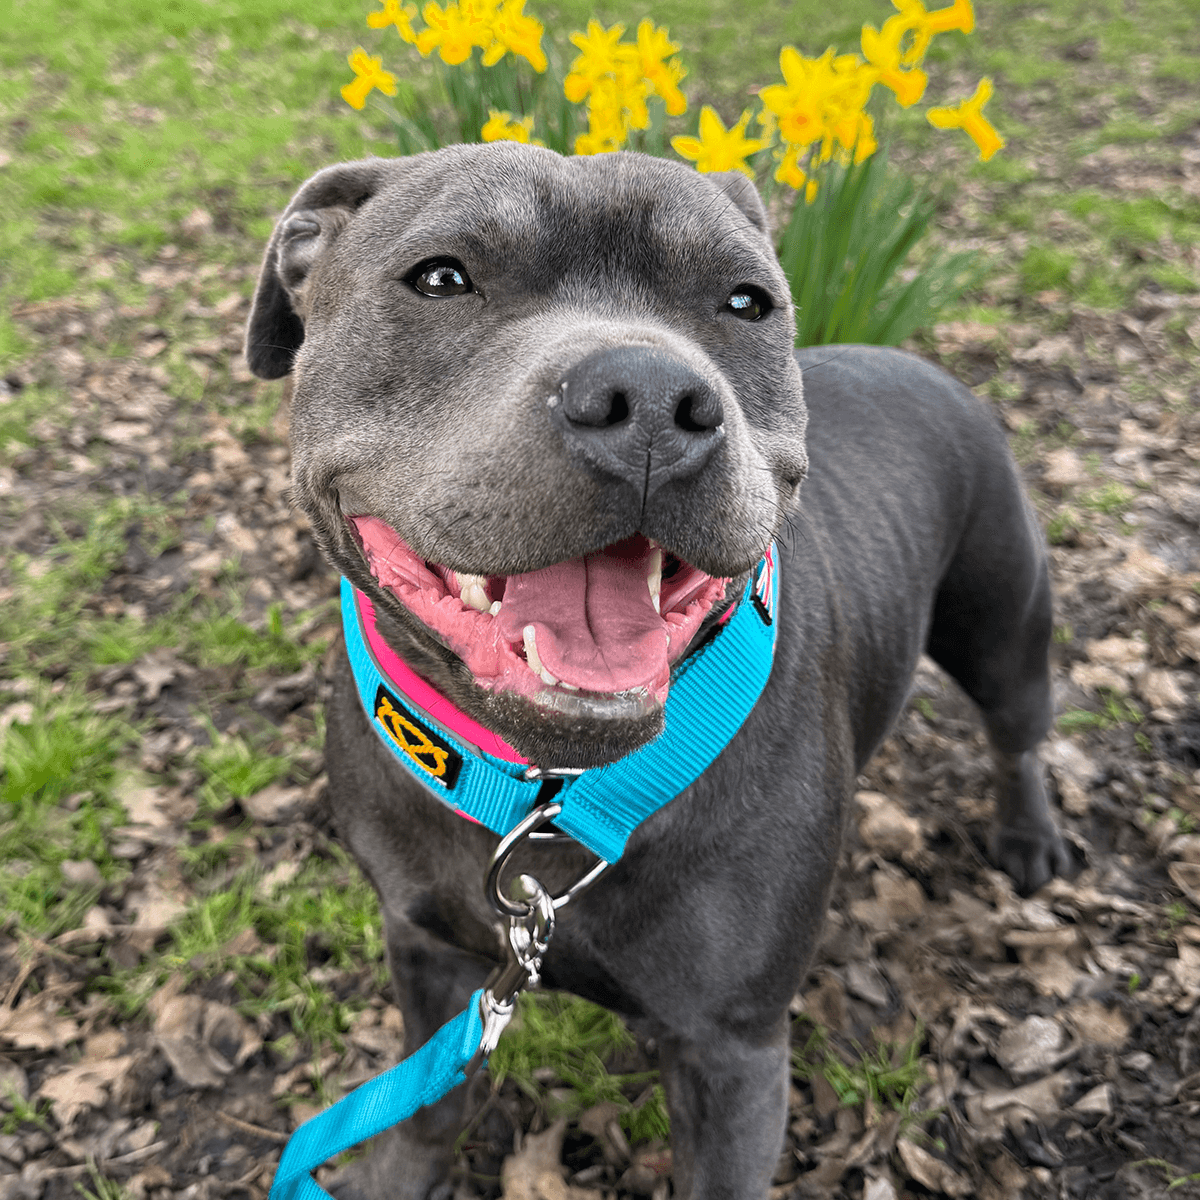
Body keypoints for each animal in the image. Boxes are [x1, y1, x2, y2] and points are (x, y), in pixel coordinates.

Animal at [243, 145, 1070, 1195]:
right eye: (440, 278)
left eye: (747, 302)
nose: (646, 399)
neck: (545, 792)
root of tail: (919, 361)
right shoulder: (426, 952)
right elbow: (428, 1110)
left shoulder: (733, 1051)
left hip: (1004, 622)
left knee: (1017, 733)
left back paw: (1030, 836)